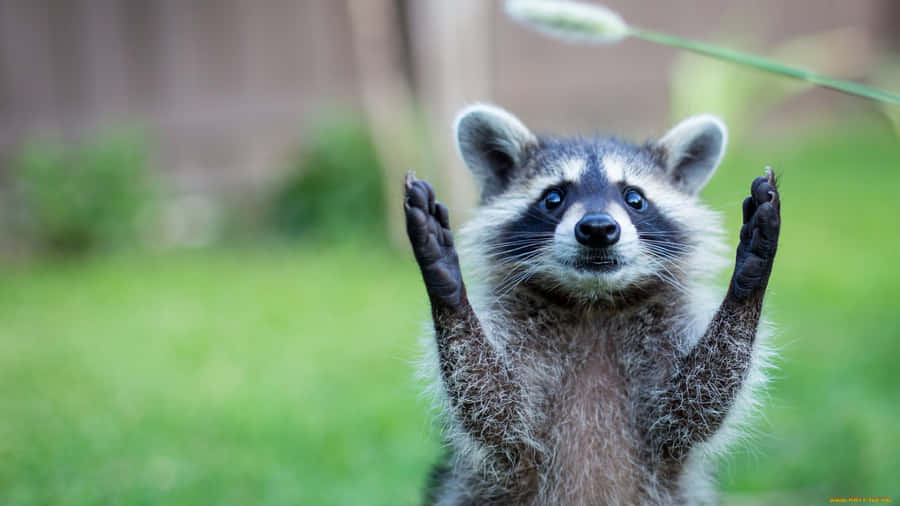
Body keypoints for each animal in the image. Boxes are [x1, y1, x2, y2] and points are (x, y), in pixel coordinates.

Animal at [404, 104, 780, 506]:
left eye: (635, 198)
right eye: (553, 198)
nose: (598, 228)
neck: (594, 303)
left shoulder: (666, 338)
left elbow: (696, 400)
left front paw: (747, 281)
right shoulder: (515, 438)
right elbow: (494, 404)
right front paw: (448, 287)